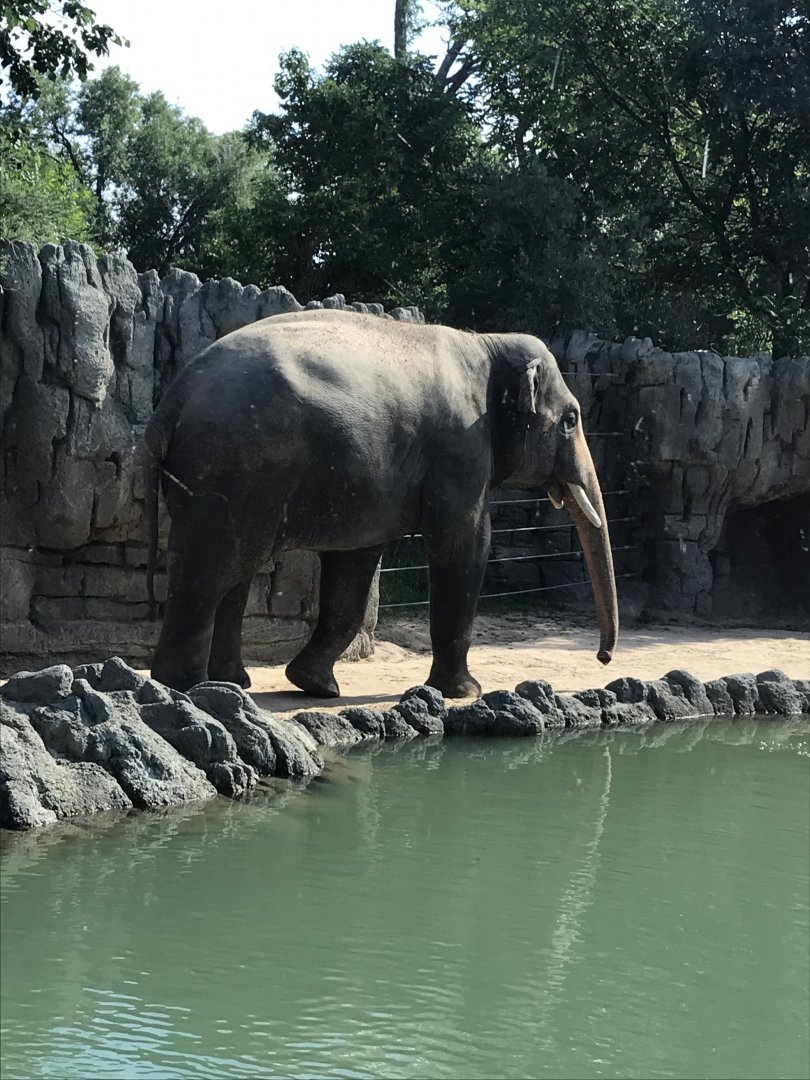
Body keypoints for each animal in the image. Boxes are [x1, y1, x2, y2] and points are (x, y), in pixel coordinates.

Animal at [144, 309, 618, 698]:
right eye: (571, 419)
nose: (603, 658)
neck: (488, 342)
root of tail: (171, 400)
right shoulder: (460, 450)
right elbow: (463, 544)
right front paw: (465, 692)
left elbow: (354, 566)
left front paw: (315, 686)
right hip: (231, 467)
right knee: (210, 570)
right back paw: (188, 686)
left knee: (234, 573)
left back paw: (231, 683)